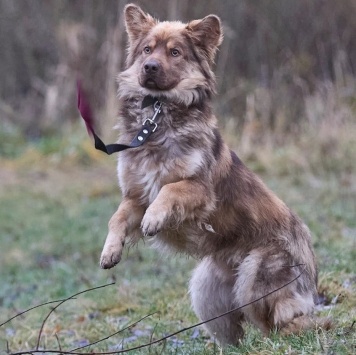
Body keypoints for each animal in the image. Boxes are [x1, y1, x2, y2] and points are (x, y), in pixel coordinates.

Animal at [98, 3, 326, 348]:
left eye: (175, 52)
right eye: (147, 50)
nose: (149, 67)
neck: (159, 115)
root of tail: (308, 251)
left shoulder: (201, 190)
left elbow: (169, 191)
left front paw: (154, 219)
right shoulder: (135, 195)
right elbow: (117, 219)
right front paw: (110, 250)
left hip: (255, 278)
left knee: (279, 322)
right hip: (206, 292)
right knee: (236, 332)